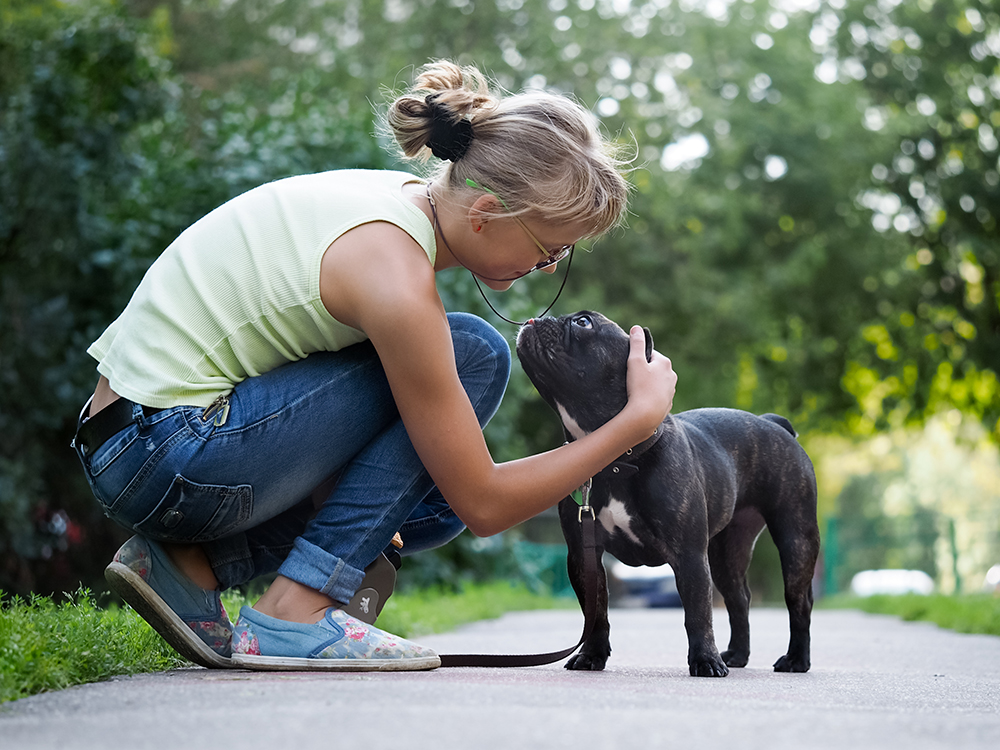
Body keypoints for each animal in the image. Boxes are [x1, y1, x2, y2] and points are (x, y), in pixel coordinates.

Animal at [516, 314, 820, 680]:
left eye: (584, 322)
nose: (534, 318)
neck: (617, 458)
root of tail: (772, 423)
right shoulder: (583, 554)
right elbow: (597, 611)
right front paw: (591, 656)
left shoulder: (689, 555)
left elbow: (697, 612)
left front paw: (705, 660)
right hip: (726, 552)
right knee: (739, 599)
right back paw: (736, 654)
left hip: (795, 539)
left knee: (798, 600)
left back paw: (796, 660)